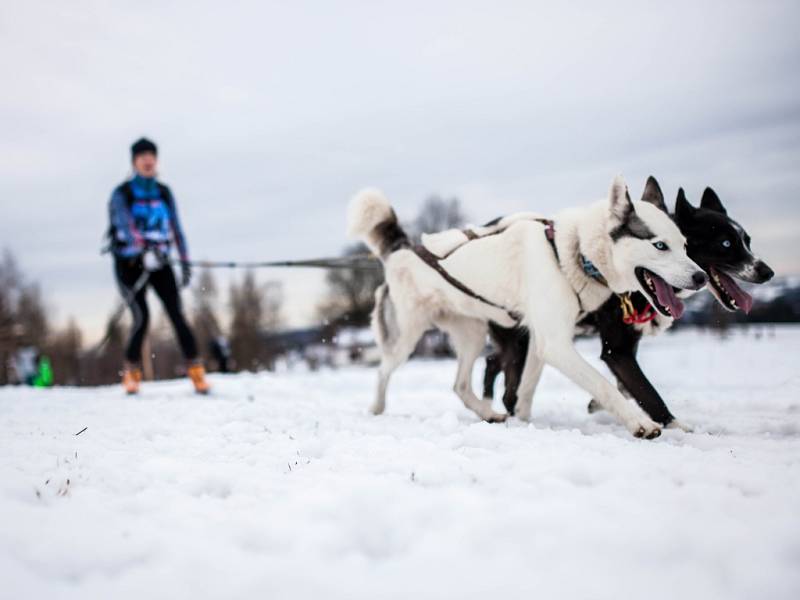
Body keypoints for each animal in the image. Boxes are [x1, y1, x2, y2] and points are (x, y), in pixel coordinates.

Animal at [350, 176, 708, 438]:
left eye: (685, 245)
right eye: (659, 245)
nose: (701, 277)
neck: (572, 253)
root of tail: (403, 247)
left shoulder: (540, 340)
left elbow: (525, 389)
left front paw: (521, 421)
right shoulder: (558, 344)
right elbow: (604, 385)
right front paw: (641, 423)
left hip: (472, 334)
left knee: (460, 385)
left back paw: (489, 413)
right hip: (407, 336)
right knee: (383, 370)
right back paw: (377, 408)